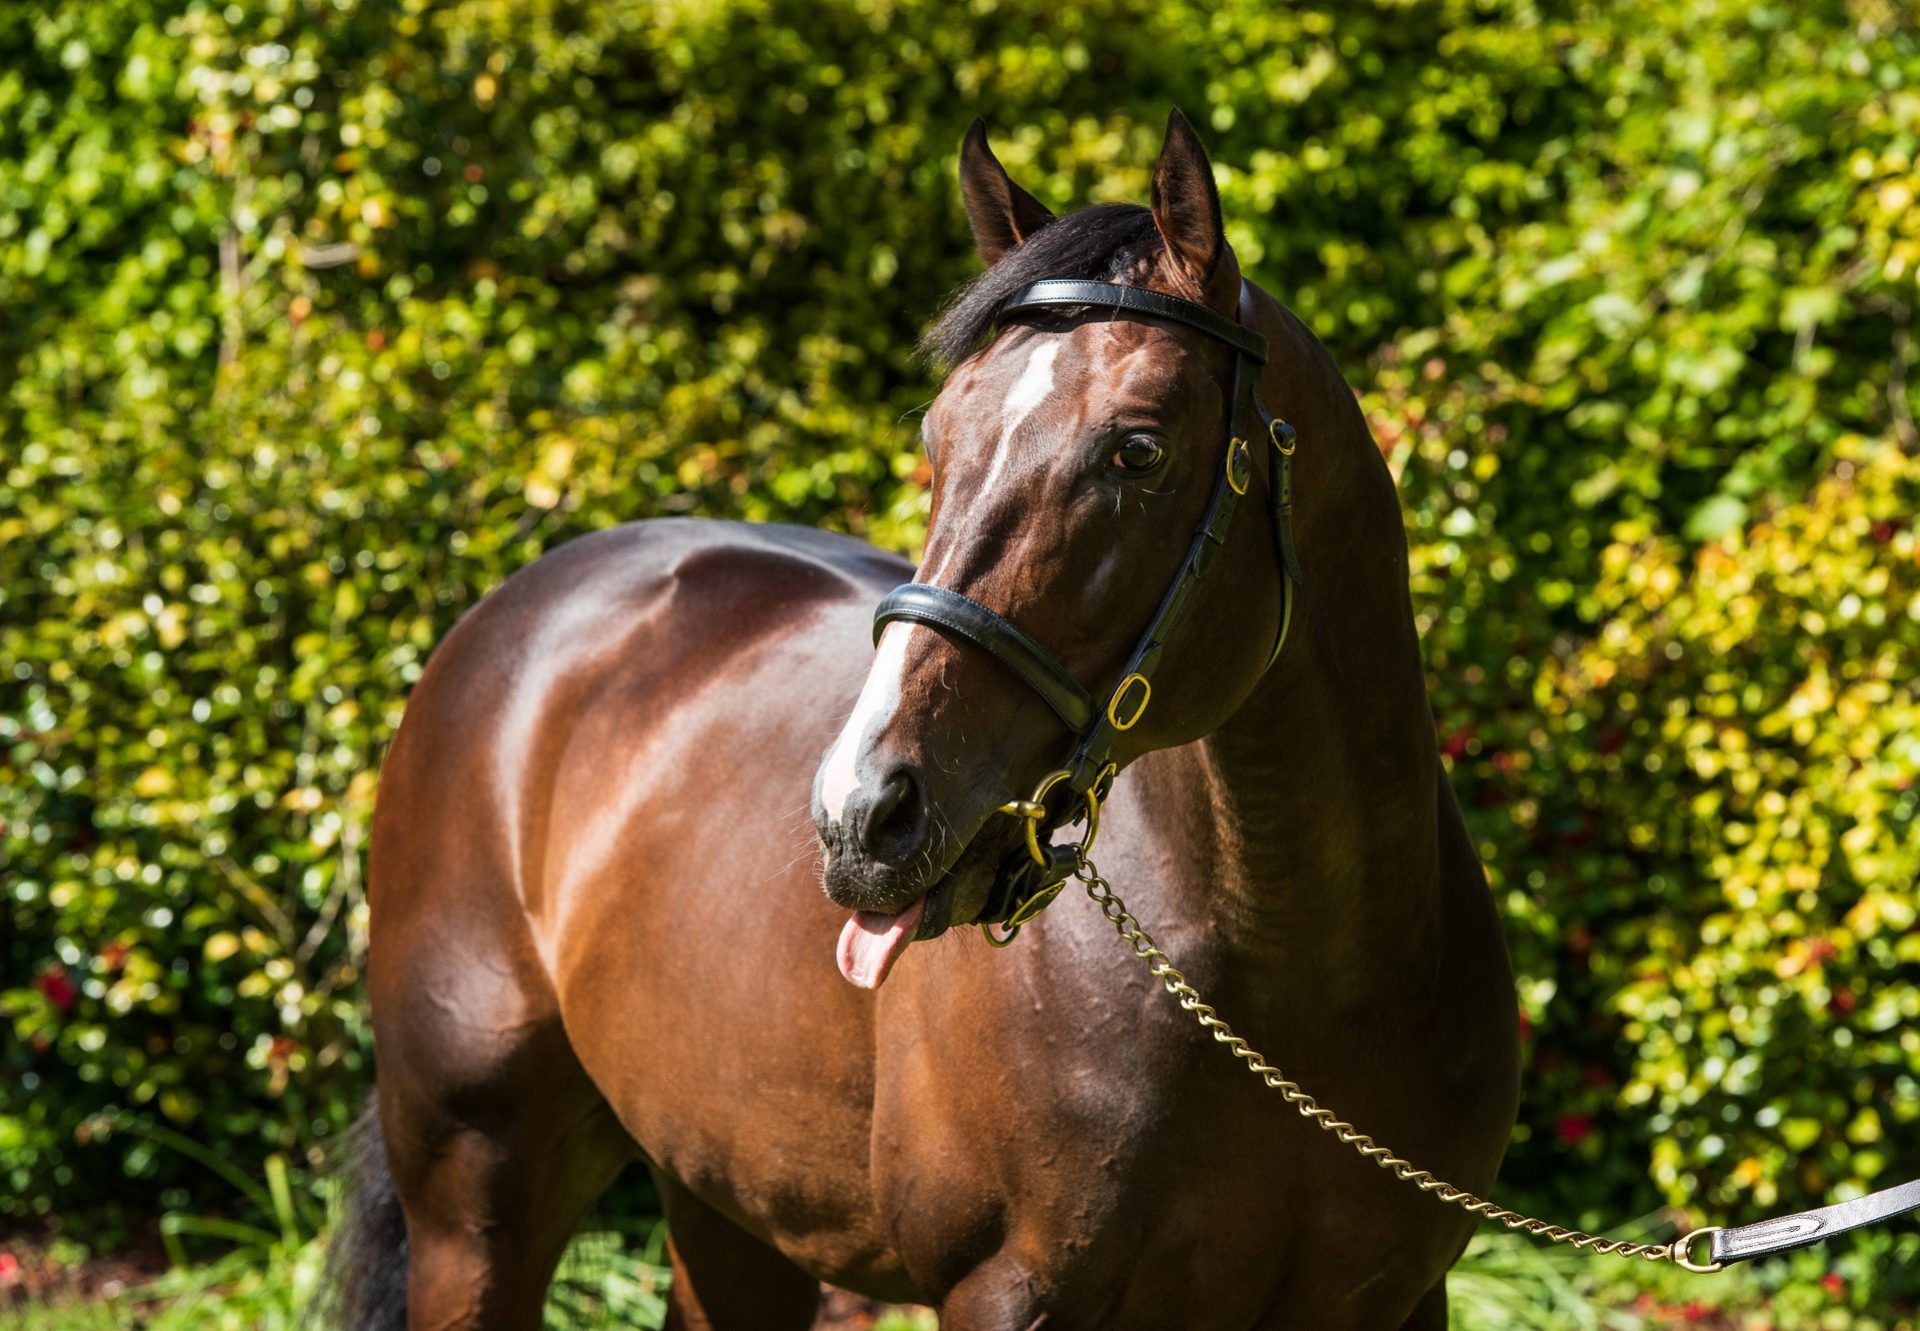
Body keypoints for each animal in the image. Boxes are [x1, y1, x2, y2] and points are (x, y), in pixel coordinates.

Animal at [326, 108, 1512, 1321]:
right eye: (939, 438)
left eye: (1137, 448)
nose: (861, 816)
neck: (1298, 987)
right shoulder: (1004, 1289)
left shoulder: (1403, 1298)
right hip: (475, 1200)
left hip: (721, 1200)